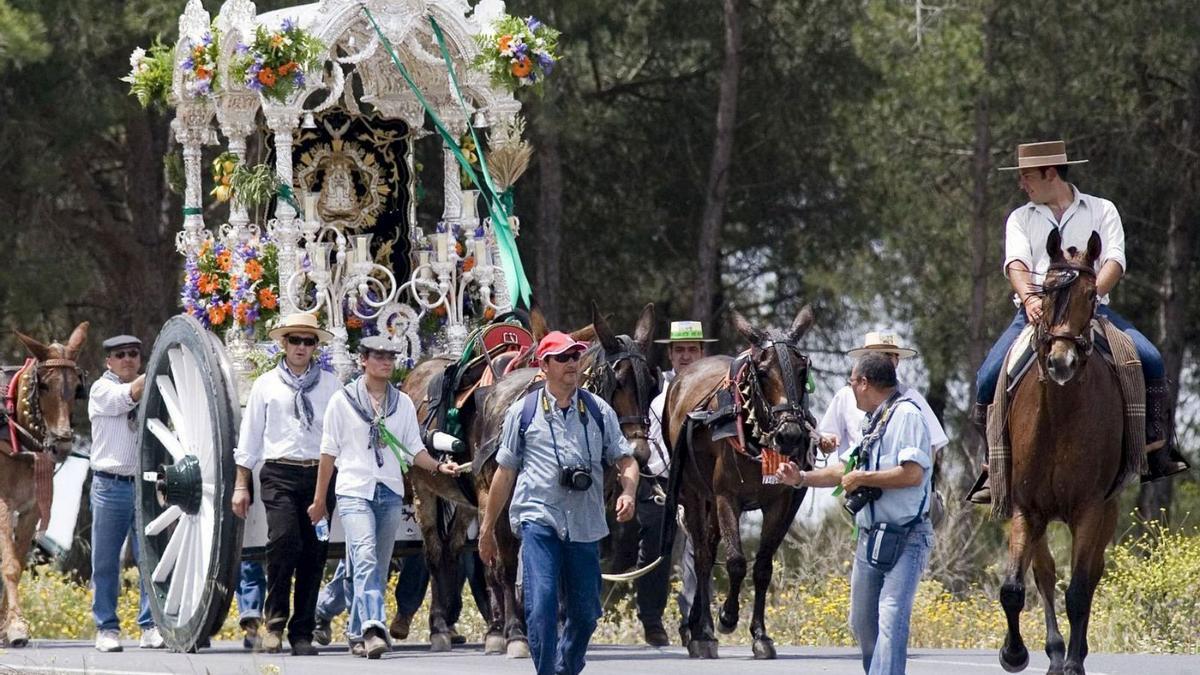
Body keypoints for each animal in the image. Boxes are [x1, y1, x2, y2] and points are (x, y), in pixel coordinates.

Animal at [0, 324, 88, 643]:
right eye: (44, 386)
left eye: (76, 388)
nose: (62, 444)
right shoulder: (3, 503)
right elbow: (9, 564)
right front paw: (15, 625)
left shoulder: (31, 509)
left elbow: (16, 561)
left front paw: (9, 625)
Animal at [662, 305, 820, 658]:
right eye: (761, 372)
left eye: (802, 369)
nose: (790, 435)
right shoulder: (726, 498)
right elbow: (735, 561)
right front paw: (726, 617)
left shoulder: (780, 503)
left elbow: (762, 567)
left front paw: (760, 635)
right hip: (694, 494)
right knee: (703, 556)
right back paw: (703, 632)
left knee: (708, 547)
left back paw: (697, 624)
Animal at [998, 228, 1128, 667]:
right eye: (1049, 291)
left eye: (1091, 294)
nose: (1061, 362)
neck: (1059, 415)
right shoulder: (1026, 509)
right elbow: (1015, 588)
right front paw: (1015, 654)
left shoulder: (1090, 508)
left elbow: (1079, 591)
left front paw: (1073, 663)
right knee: (1045, 573)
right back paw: (1053, 652)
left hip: (1107, 508)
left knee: (1090, 575)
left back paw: (1072, 654)